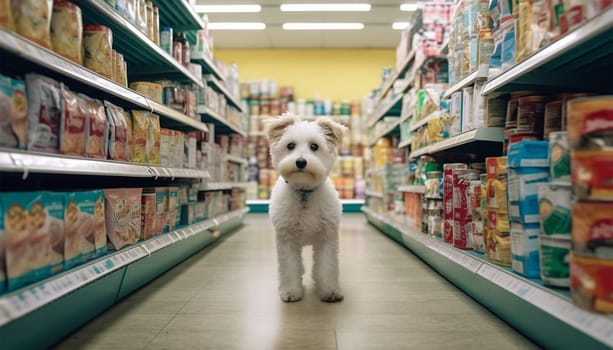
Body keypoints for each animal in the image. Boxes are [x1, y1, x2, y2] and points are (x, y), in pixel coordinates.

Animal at [264, 113, 346, 302]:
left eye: (314, 146)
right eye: (290, 145)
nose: (301, 162)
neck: (304, 192)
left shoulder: (327, 238)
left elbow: (327, 266)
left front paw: (329, 290)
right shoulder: (287, 240)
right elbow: (290, 267)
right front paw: (291, 291)